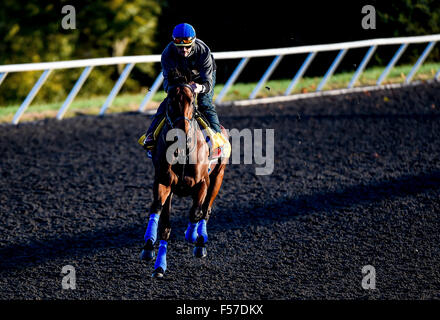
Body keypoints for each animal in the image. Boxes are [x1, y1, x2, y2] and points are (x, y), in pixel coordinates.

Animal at [141, 68, 230, 278]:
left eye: (191, 100)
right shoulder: (164, 182)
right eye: (170, 100)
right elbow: (161, 218)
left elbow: (196, 212)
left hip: (218, 177)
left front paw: (192, 234)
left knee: (206, 210)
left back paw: (200, 241)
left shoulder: (203, 182)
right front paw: (156, 260)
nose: (181, 131)